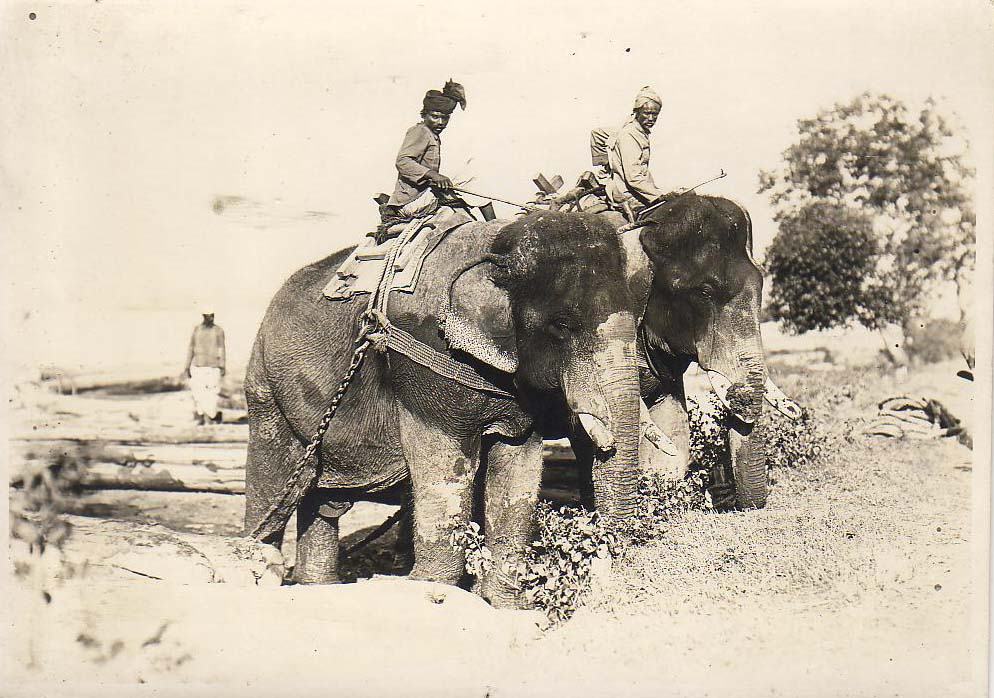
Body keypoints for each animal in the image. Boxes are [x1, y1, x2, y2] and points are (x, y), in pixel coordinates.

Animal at [243, 210, 643, 607]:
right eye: (561, 325)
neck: (500, 240)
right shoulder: (424, 358)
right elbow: (445, 463)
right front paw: (432, 591)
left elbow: (517, 470)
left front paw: (504, 605)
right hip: (266, 388)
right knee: (273, 478)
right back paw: (258, 569)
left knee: (322, 501)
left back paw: (317, 589)